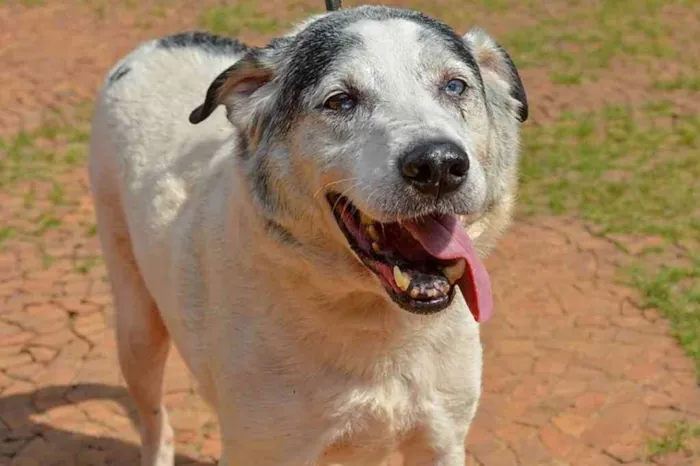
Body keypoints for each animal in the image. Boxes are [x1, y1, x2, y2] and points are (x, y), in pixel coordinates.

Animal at [86, 4, 524, 466]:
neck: (377, 325)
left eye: (455, 86)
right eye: (340, 100)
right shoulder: (263, 449)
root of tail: (159, 42)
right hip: (136, 327)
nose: (438, 165)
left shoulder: (441, 441)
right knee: (156, 421)